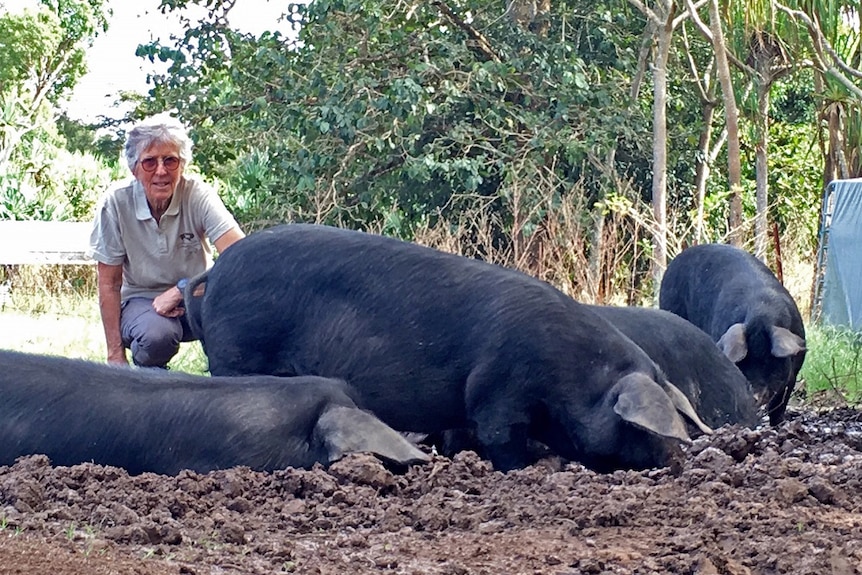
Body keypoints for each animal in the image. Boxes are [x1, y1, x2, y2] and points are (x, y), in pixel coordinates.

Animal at [186, 224, 712, 472]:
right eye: (638, 425)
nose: (675, 460)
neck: (574, 373)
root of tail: (215, 275)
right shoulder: (497, 392)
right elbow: (502, 439)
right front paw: (526, 468)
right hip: (237, 353)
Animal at [660, 241, 808, 426]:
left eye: (769, 362)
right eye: (742, 363)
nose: (754, 396)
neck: (763, 312)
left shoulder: (793, 373)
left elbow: (779, 405)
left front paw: (778, 424)